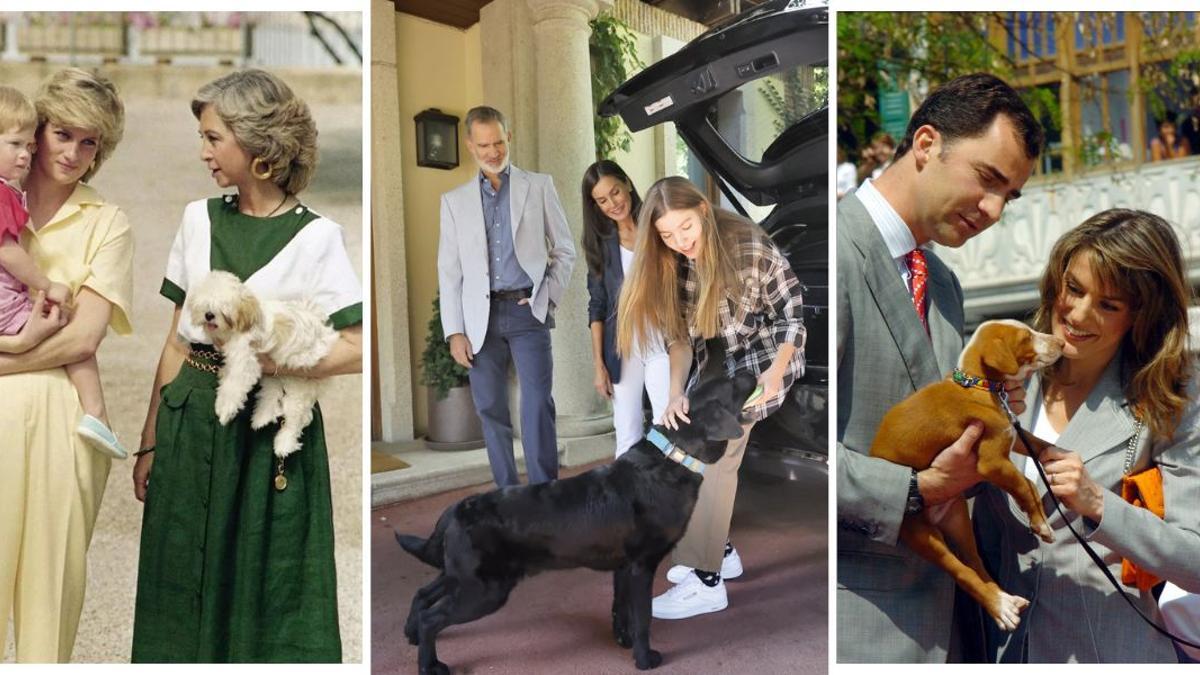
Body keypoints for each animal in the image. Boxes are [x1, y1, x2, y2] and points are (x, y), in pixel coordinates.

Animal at [187, 269, 340, 456]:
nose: (209, 315)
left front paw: (225, 410)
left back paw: (284, 443)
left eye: (224, 309)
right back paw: (261, 418)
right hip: (277, 375)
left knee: (296, 416)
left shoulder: (245, 360)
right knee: (271, 393)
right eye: (205, 305)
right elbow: (229, 380)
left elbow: (233, 387)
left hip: (300, 385)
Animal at [396, 343, 748, 667]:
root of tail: (455, 510)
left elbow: (621, 608)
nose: (746, 370)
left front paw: (622, 640)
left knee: (422, 595)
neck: (672, 456)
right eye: (732, 385)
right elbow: (642, 617)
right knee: (432, 617)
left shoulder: (622, 567)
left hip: (460, 574)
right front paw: (644, 658)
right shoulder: (641, 565)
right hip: (484, 588)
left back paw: (411, 635)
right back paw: (429, 664)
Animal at [873, 317, 1060, 629]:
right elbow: (1023, 486)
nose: (1061, 342)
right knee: (963, 573)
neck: (980, 385)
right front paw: (1040, 523)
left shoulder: (1010, 437)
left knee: (975, 563)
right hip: (924, 536)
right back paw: (998, 607)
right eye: (1026, 337)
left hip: (959, 520)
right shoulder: (991, 462)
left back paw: (1005, 602)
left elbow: (1034, 456)